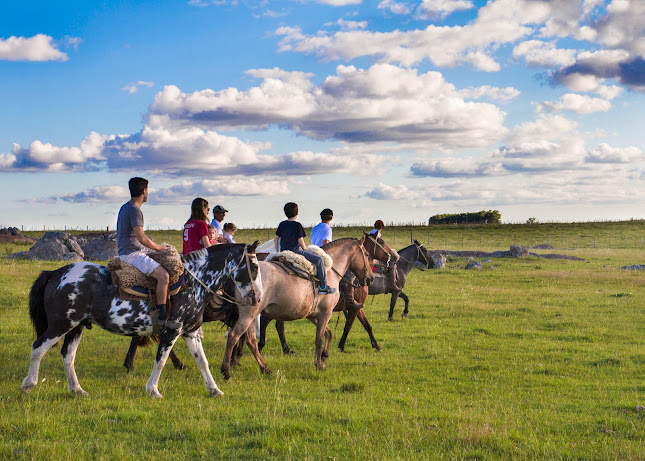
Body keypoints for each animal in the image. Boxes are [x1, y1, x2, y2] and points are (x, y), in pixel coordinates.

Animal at [21, 243, 262, 398]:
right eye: (255, 266)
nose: (257, 297)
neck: (194, 281)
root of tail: (55, 273)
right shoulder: (172, 331)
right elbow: (161, 360)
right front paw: (153, 390)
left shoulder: (190, 332)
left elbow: (202, 361)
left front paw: (214, 390)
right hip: (60, 325)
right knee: (37, 348)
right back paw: (29, 384)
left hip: (76, 327)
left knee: (68, 355)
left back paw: (77, 389)